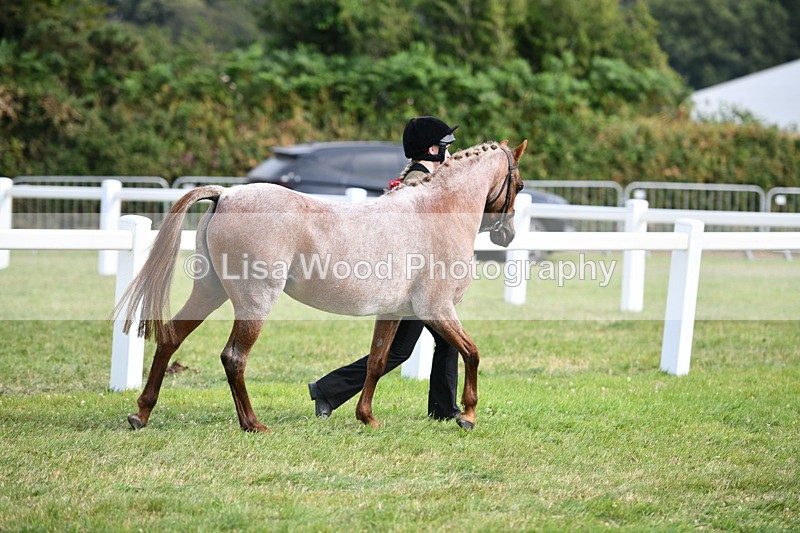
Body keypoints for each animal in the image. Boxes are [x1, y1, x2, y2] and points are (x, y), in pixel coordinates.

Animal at [116, 140, 527, 433]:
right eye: (519, 185)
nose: (507, 235)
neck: (434, 213)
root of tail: (227, 194)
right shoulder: (437, 309)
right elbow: (471, 353)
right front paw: (467, 415)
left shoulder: (394, 312)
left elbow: (377, 361)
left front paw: (367, 417)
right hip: (254, 301)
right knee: (234, 357)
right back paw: (253, 424)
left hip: (210, 291)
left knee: (170, 337)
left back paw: (141, 414)